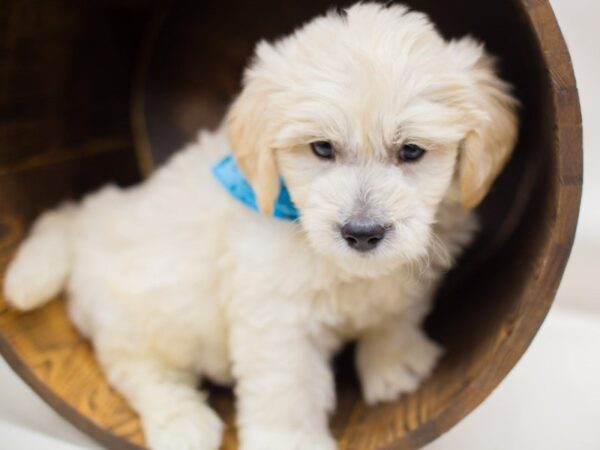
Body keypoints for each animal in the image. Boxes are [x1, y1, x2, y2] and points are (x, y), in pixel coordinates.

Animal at [1, 3, 516, 450]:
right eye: (321, 148)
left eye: (411, 151)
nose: (362, 232)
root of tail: (89, 219)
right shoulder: (276, 321)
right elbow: (289, 391)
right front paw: (294, 443)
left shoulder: (412, 276)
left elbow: (395, 315)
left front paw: (396, 367)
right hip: (136, 318)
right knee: (138, 369)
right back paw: (184, 424)